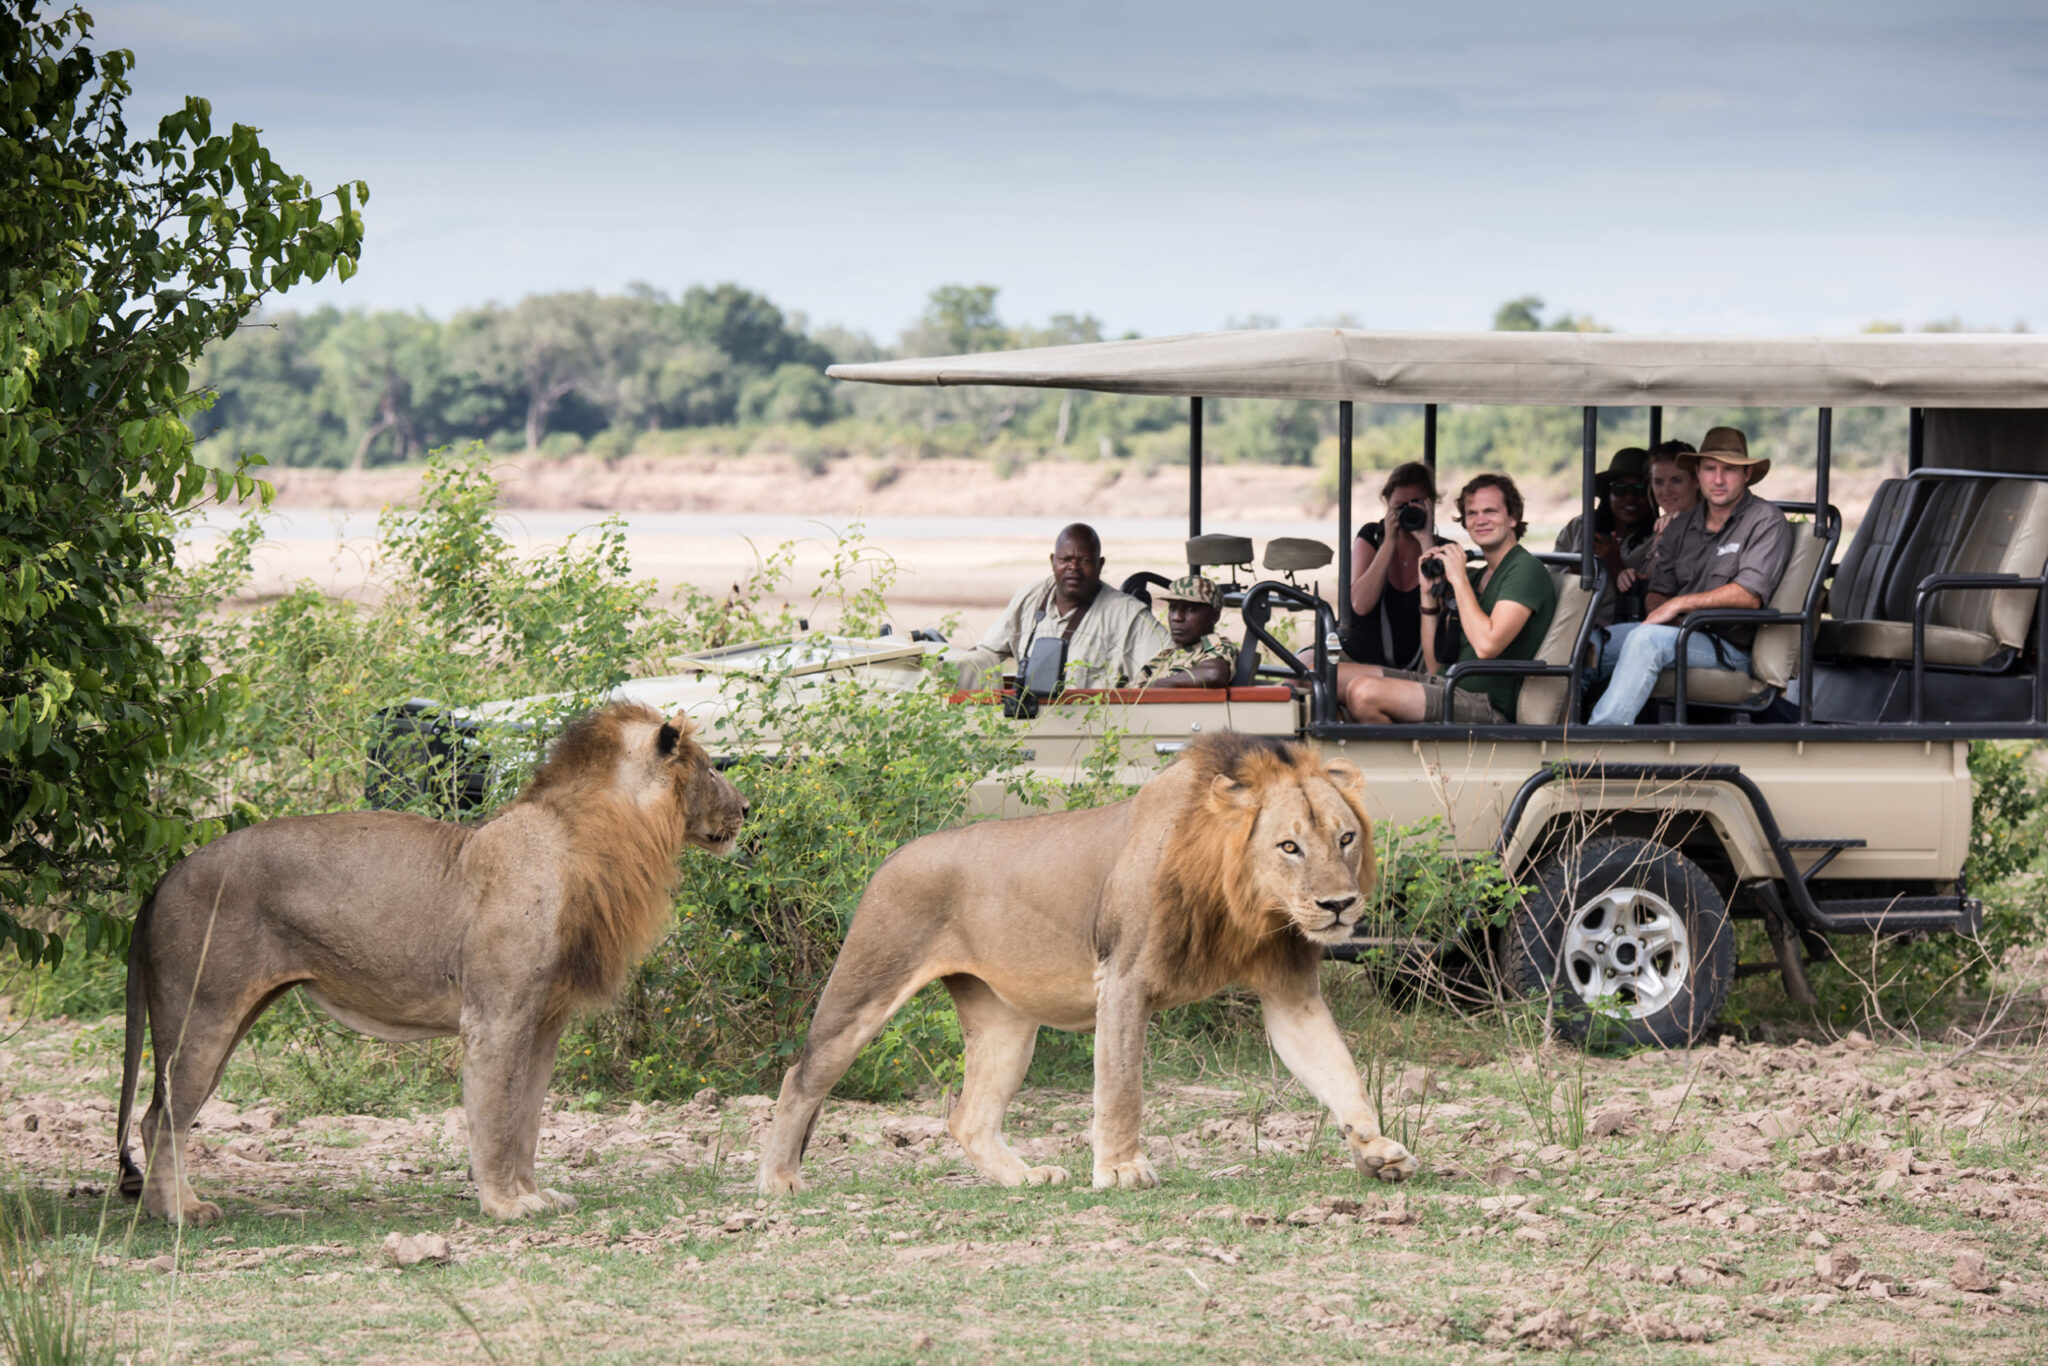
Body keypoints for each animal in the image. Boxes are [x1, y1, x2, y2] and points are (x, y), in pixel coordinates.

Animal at [117, 700, 745, 1220]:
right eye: (710, 766)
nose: (744, 806)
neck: (600, 837)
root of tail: (165, 878)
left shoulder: (544, 1023)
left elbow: (527, 1121)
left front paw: (536, 1195)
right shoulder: (495, 1018)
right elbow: (495, 1118)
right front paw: (504, 1205)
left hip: (227, 1019)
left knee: (159, 1117)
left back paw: (169, 1207)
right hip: (202, 1015)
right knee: (163, 1117)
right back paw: (181, 1214)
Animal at [761, 733, 1417, 1187]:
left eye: (1345, 838)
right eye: (1289, 846)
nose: (1338, 905)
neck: (1246, 905)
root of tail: (892, 856)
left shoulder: (1289, 992)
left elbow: (1339, 1069)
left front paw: (1376, 1149)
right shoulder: (1124, 978)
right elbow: (1121, 1086)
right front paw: (1122, 1170)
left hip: (1004, 1023)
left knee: (968, 1117)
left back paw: (1025, 1178)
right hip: (867, 984)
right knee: (800, 1077)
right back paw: (780, 1181)